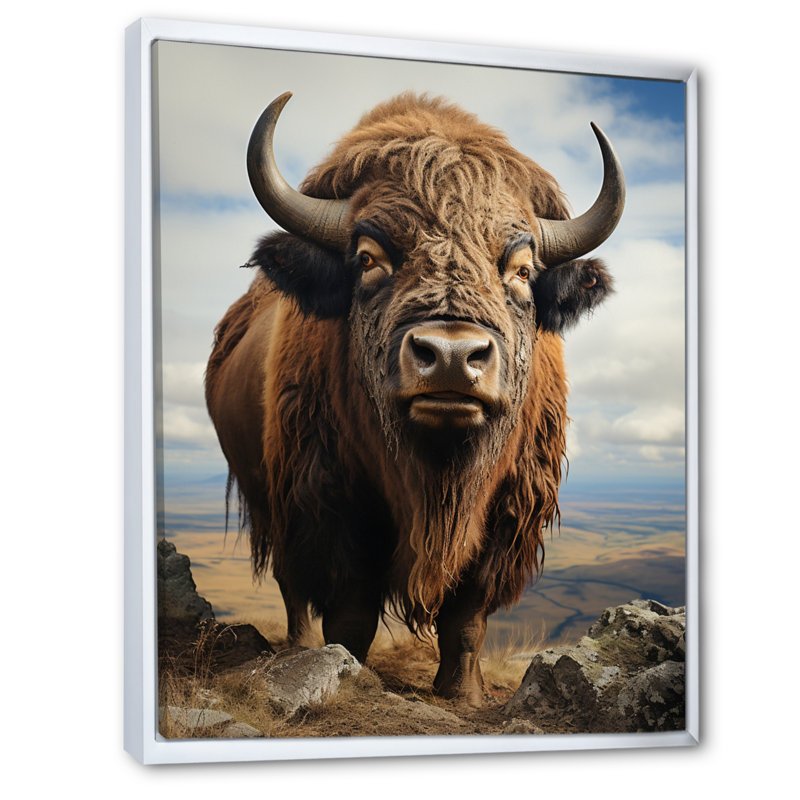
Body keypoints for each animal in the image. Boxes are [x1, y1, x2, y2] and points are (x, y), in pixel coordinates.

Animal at [205, 92, 624, 705]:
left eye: (522, 270)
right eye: (367, 258)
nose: (451, 356)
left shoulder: (505, 516)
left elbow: (466, 615)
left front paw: (462, 693)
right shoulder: (330, 503)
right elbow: (350, 611)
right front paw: (349, 675)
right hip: (271, 504)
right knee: (292, 588)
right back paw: (298, 650)